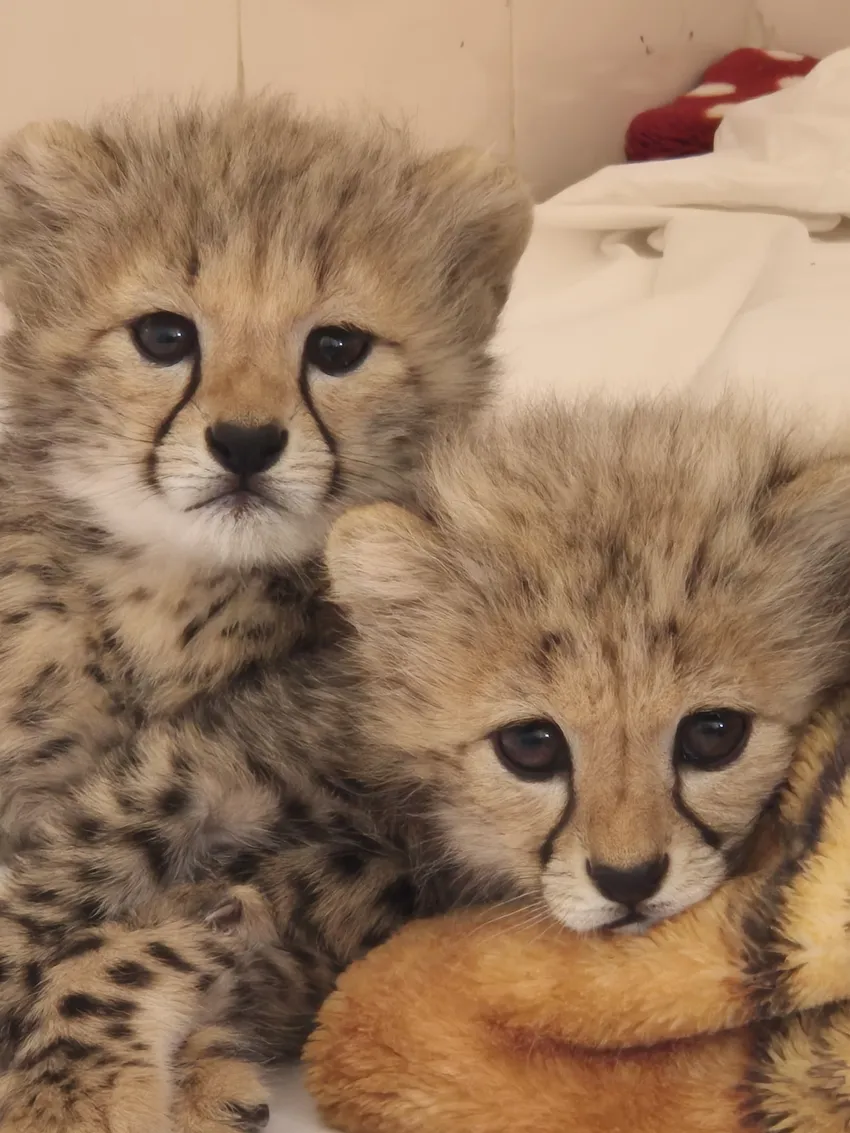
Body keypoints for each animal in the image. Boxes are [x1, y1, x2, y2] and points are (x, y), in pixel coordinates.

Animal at [0, 97, 531, 1131]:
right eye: (165, 336)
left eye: (337, 348)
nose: (246, 442)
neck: (178, 586)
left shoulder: (393, 859)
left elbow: (163, 921)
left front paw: (87, 1073)